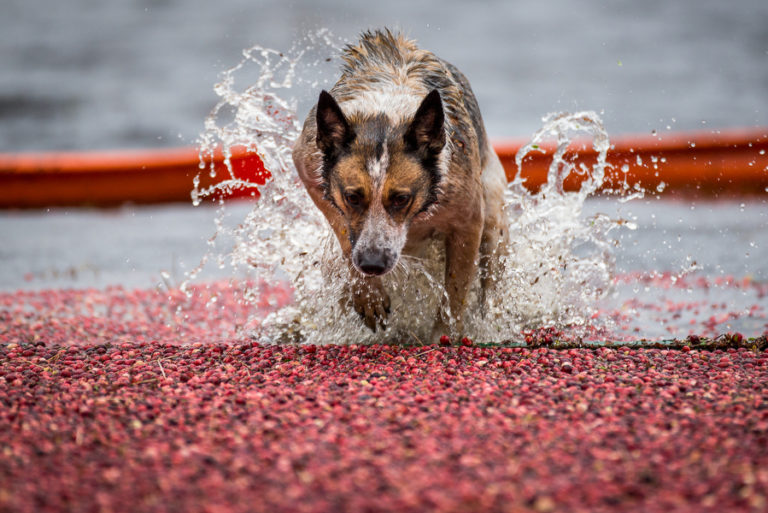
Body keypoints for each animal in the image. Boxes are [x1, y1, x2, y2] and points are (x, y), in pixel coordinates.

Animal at [292, 28, 508, 340]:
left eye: (401, 199)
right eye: (352, 197)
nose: (372, 264)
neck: (386, 116)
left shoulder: (467, 222)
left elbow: (454, 294)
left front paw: (443, 337)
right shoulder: (308, 163)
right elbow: (344, 234)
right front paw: (368, 295)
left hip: (493, 217)